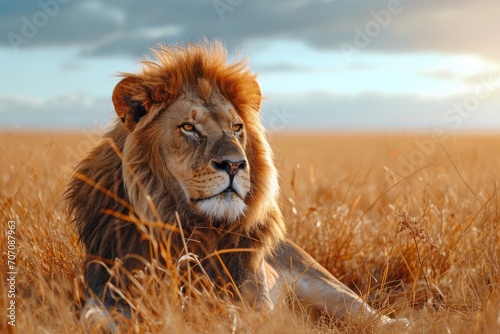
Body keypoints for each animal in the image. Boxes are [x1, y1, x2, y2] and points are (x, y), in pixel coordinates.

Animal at [67, 39, 402, 328]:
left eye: (236, 127)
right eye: (189, 128)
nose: (234, 164)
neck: (194, 230)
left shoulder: (258, 301)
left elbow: (240, 315)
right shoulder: (107, 287)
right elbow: (94, 316)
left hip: (329, 290)